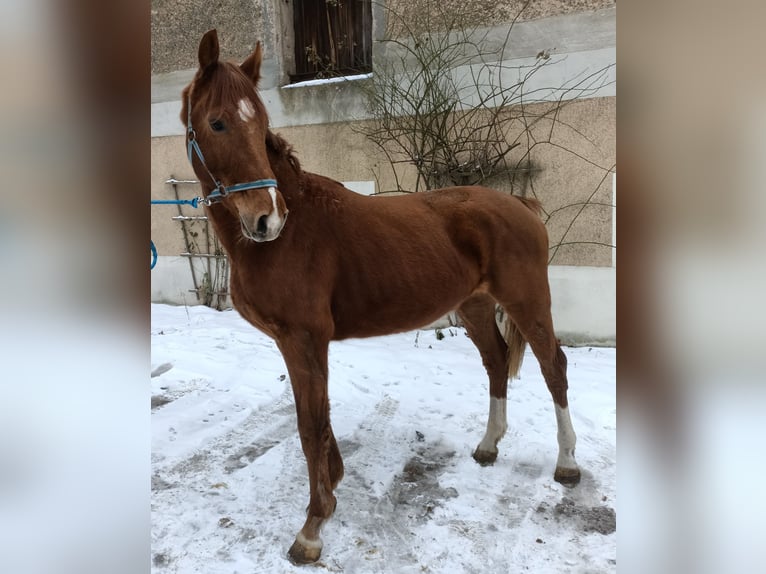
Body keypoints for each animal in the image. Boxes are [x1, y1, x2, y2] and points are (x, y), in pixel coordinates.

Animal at [180, 29, 580, 564]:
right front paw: (333, 486)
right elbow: (318, 419)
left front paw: (313, 527)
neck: (293, 233)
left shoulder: (304, 339)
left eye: (261, 123)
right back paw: (488, 446)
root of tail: (518, 203)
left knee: (553, 366)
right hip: (474, 306)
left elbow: (310, 425)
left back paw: (567, 464)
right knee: (497, 362)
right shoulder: (298, 343)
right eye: (217, 122)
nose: (266, 217)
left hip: (528, 300)